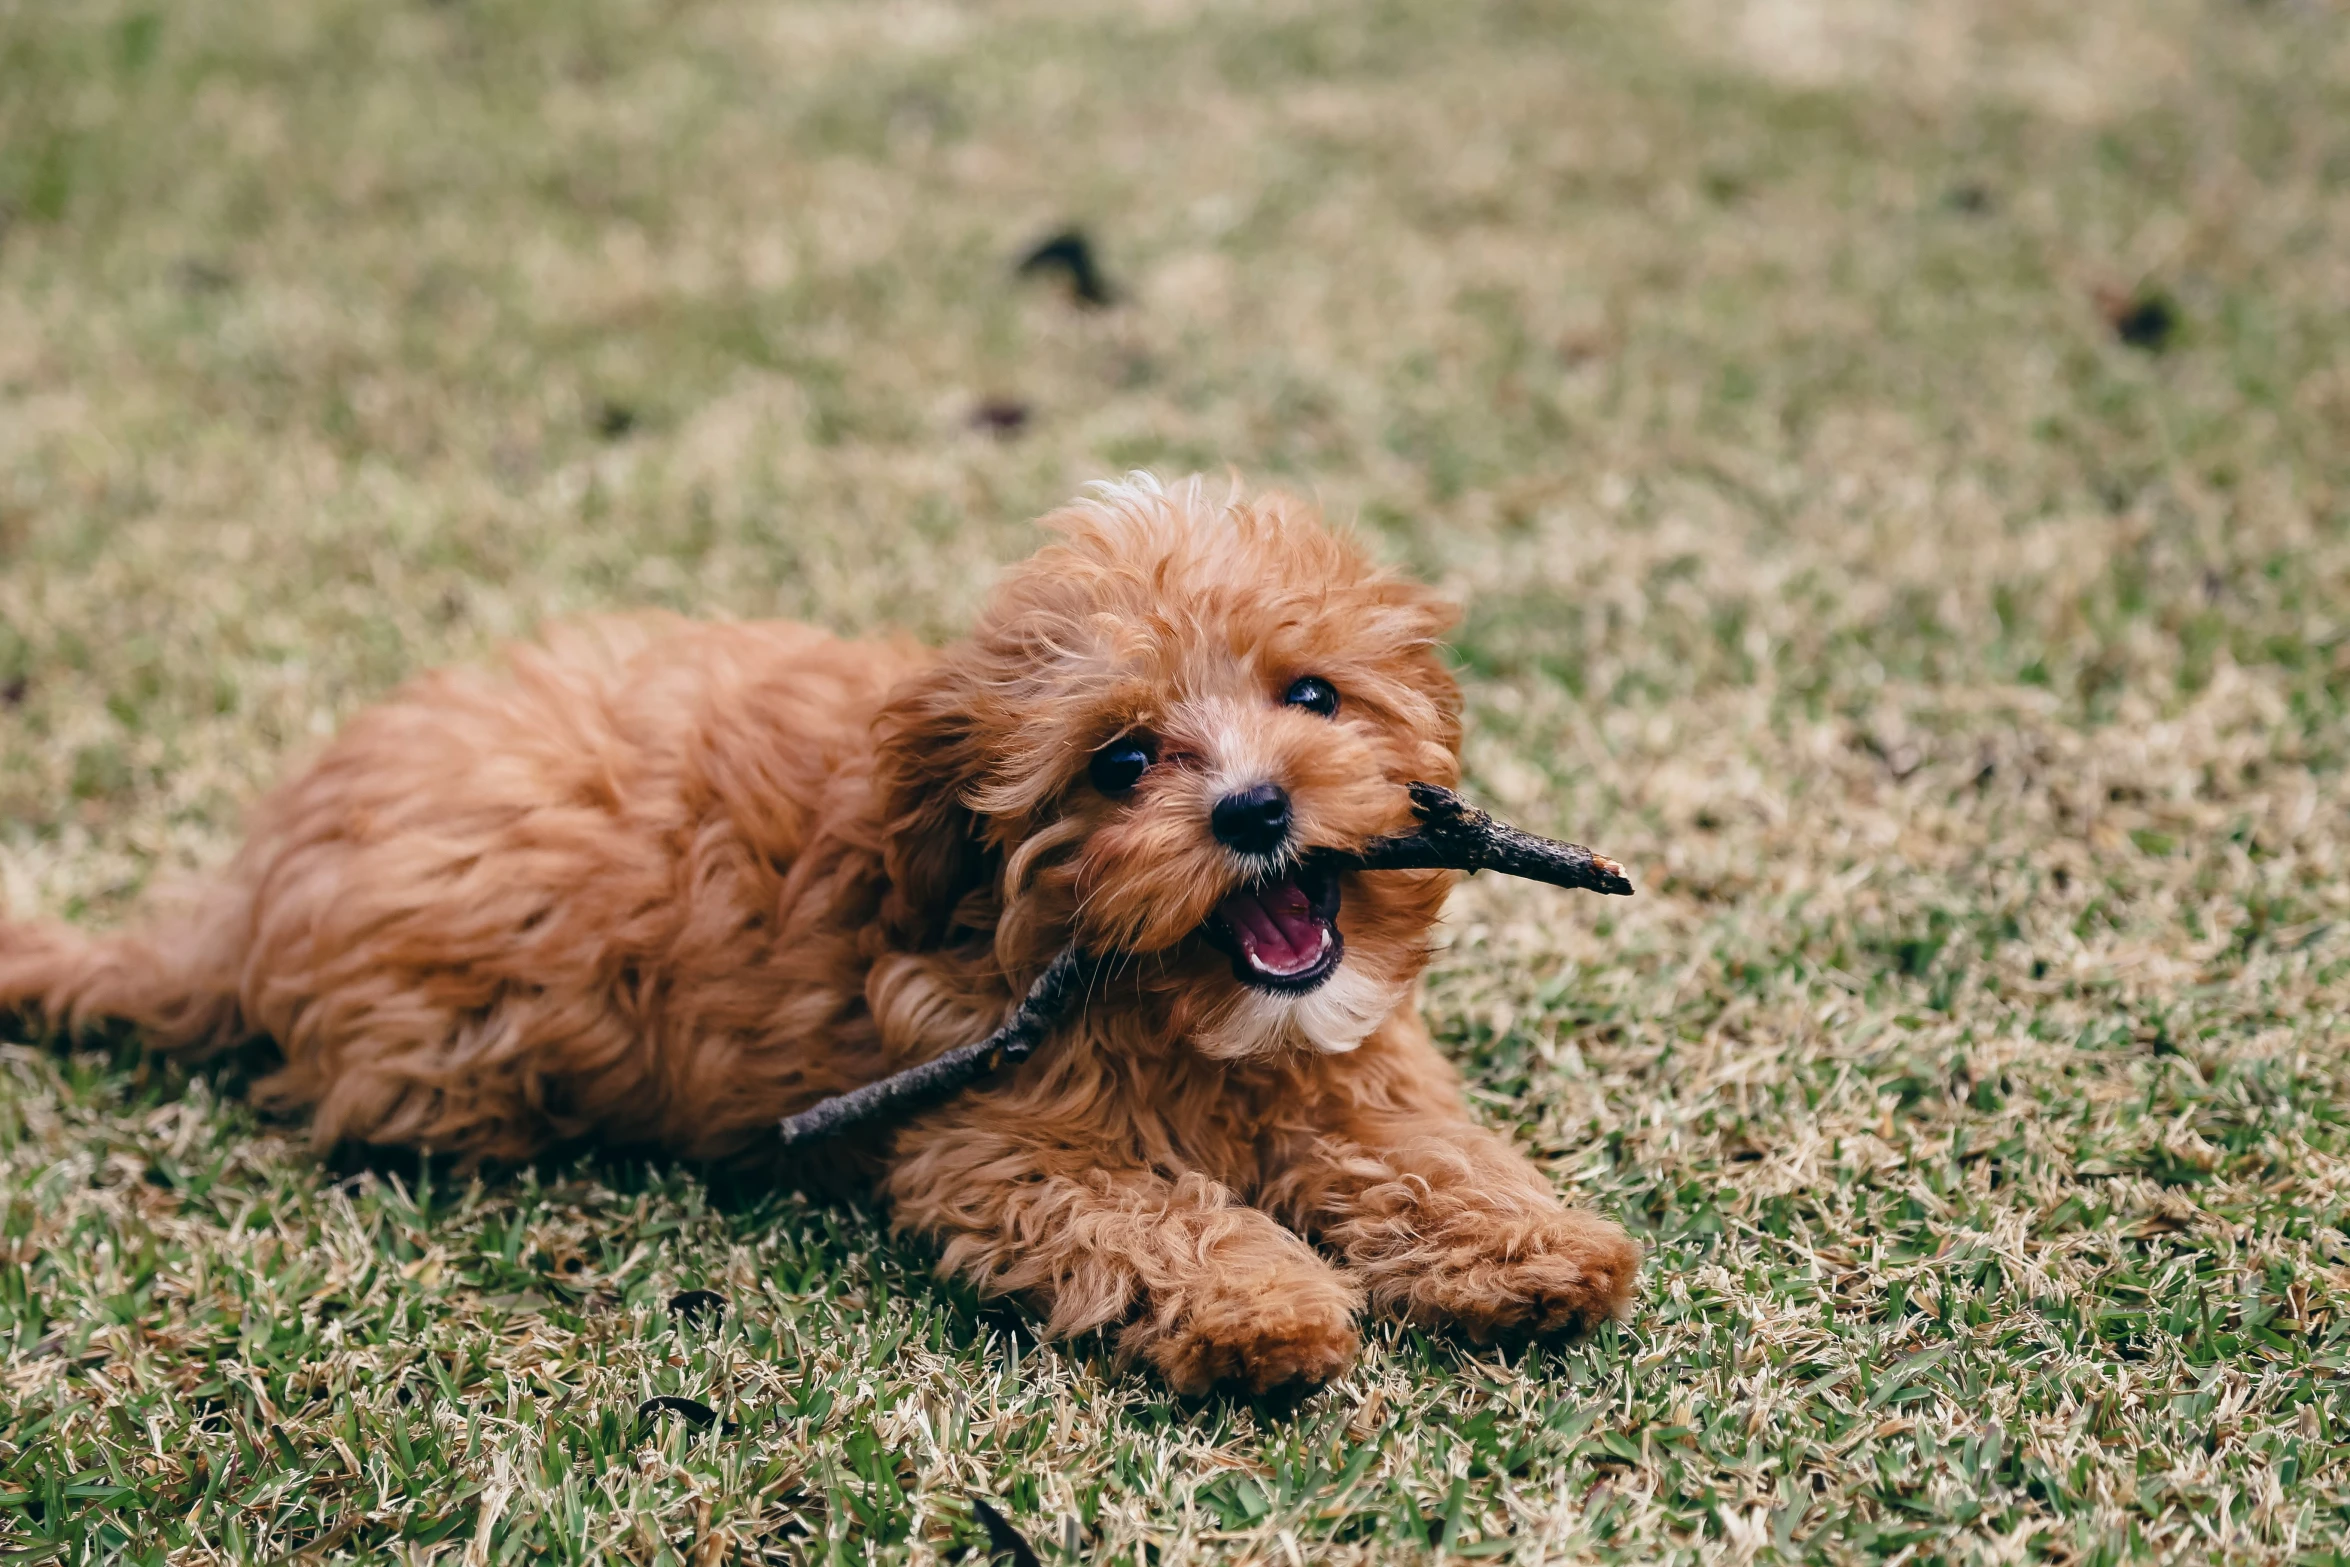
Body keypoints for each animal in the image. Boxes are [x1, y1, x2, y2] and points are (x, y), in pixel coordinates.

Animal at [0, 472, 1644, 1390]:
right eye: (1122, 760)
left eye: (1312, 695)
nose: (1254, 810)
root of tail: (247, 885)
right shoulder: (988, 1145)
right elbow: (1152, 1212)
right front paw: (1266, 1305)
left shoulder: (1347, 1059)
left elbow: (1418, 1138)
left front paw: (1529, 1240)